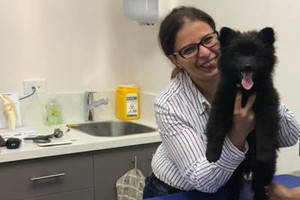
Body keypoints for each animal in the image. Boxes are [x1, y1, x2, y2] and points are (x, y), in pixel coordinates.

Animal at [205, 27, 280, 200]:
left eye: (256, 53)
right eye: (238, 53)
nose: (247, 66)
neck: (246, 92)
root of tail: (248, 168)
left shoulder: (268, 107)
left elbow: (265, 131)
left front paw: (264, 152)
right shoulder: (220, 107)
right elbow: (215, 130)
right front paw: (212, 154)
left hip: (264, 170)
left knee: (259, 186)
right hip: (233, 174)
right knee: (234, 188)